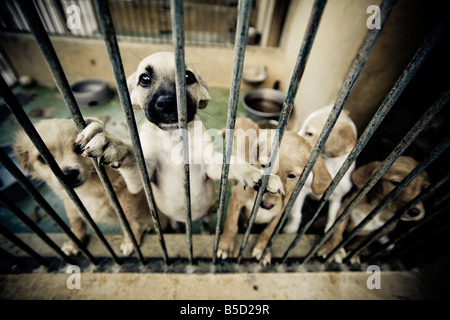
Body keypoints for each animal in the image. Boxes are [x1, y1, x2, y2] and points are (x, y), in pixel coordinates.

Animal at [13, 119, 167, 256]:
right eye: (41, 159)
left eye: (78, 148)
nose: (69, 174)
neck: (89, 189)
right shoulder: (71, 204)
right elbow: (76, 224)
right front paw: (74, 244)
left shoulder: (126, 195)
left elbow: (128, 222)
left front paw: (130, 241)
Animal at [75, 52, 284, 226]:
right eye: (144, 79)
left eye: (188, 77)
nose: (168, 103)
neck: (173, 138)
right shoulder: (141, 179)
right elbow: (132, 156)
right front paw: (109, 141)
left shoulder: (210, 165)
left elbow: (233, 162)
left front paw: (258, 175)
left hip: (205, 214)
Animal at [216, 120, 332, 264]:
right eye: (264, 166)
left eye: (292, 176)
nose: (266, 205)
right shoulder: (237, 199)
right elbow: (231, 224)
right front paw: (225, 246)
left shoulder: (281, 213)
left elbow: (269, 231)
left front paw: (262, 249)